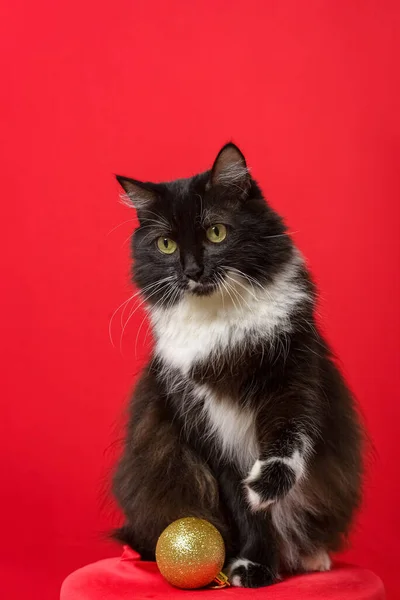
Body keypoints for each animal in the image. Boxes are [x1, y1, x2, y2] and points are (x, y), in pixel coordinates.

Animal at [111, 143, 362, 588]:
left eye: (216, 233)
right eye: (166, 245)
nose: (192, 271)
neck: (222, 325)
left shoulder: (294, 374)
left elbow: (289, 438)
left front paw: (266, 487)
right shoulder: (202, 422)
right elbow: (245, 511)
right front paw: (255, 565)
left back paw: (312, 556)